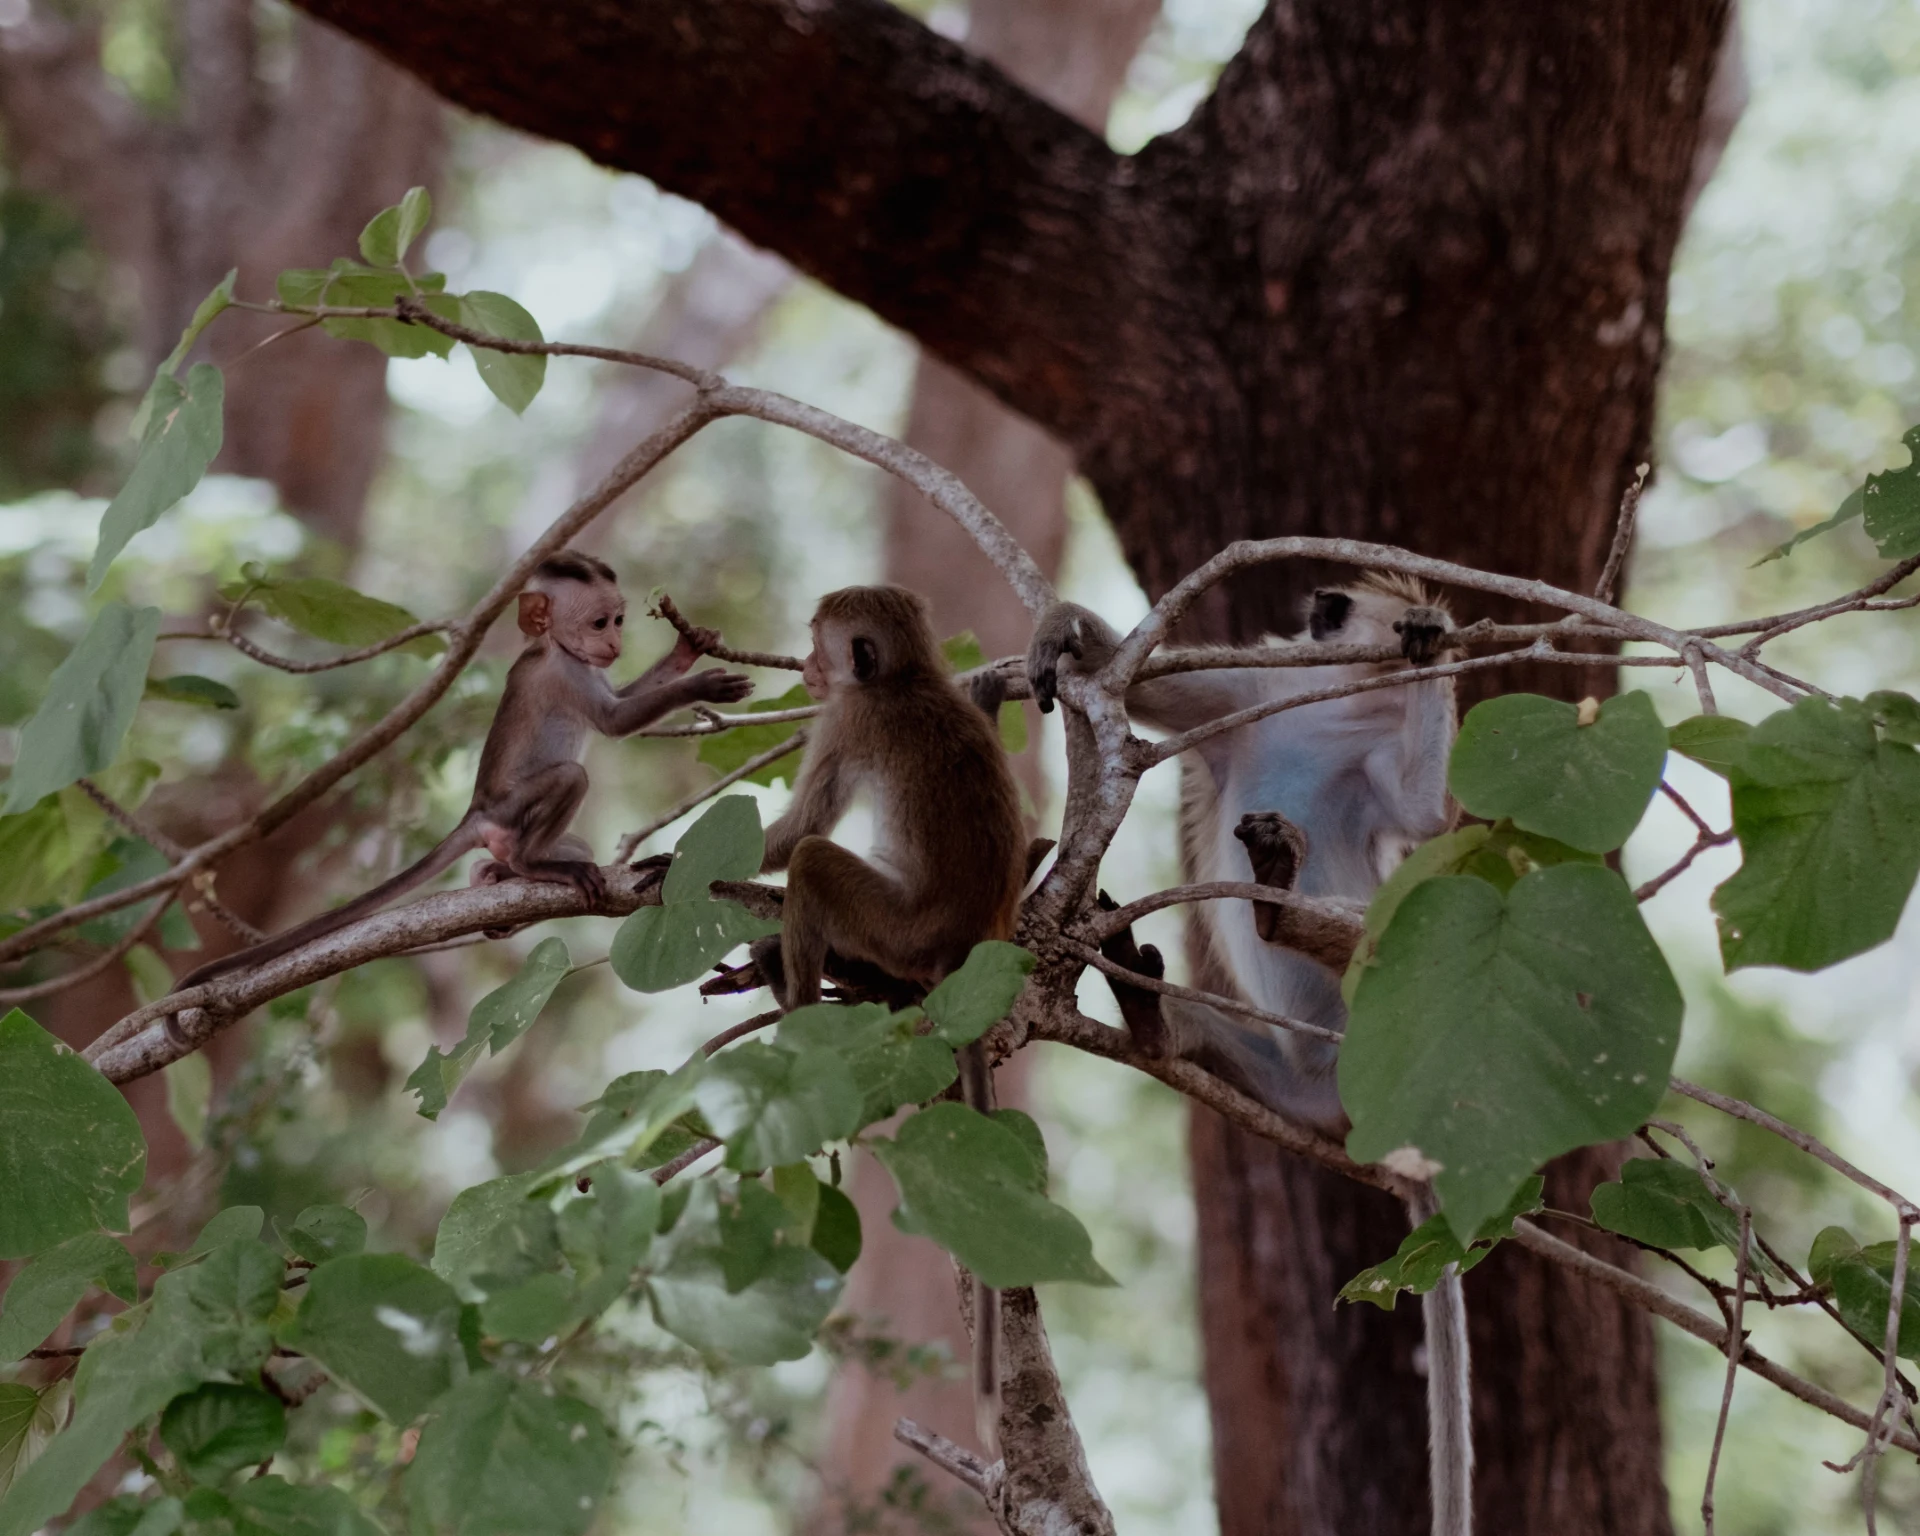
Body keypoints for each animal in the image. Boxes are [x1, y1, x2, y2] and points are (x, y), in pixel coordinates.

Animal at [174, 552, 753, 992]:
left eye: (618, 621)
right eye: (598, 622)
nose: (614, 644)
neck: (552, 647)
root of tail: (476, 814)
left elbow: (625, 699)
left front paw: (685, 650)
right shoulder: (567, 675)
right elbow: (616, 722)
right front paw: (701, 685)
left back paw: (493, 874)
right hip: (510, 811)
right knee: (571, 777)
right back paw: (529, 864)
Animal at [750, 584, 1026, 1455]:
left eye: (820, 644)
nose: (805, 666)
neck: (909, 680)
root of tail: (961, 947)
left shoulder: (847, 720)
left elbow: (800, 832)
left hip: (891, 928)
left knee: (816, 866)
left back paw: (797, 1004)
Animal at [1028, 574, 1473, 1535]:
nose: (1415, 640)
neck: (1338, 714)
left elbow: (1421, 817)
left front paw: (1439, 646)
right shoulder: (1252, 693)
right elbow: (1152, 691)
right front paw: (1065, 628)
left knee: (1389, 930)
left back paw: (1281, 910)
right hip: (1289, 1087)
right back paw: (1158, 1017)